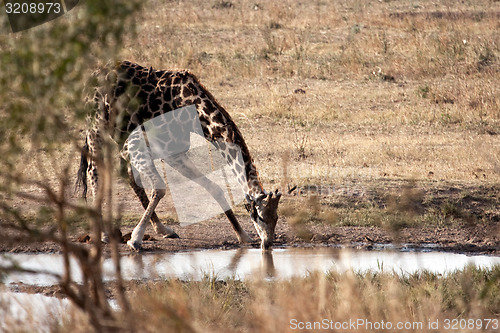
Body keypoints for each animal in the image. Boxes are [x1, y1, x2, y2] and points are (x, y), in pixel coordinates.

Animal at [78, 61, 282, 250]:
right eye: (261, 217)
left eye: (277, 217)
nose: (268, 243)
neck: (191, 109)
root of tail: (90, 78)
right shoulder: (138, 145)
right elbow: (160, 188)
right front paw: (135, 239)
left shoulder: (173, 153)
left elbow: (214, 188)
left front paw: (243, 235)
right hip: (97, 130)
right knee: (94, 171)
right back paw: (104, 234)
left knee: (120, 173)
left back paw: (160, 229)